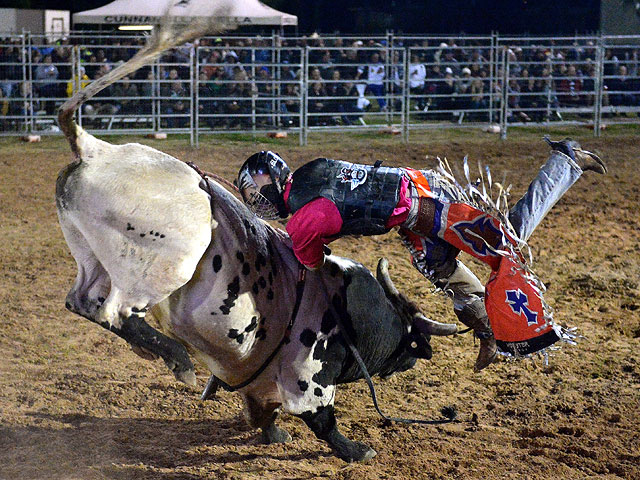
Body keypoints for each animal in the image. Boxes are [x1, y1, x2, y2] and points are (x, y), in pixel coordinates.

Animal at [53, 7, 460, 464]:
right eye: (409, 336)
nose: (414, 359)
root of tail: (95, 149)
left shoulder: (261, 379)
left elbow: (263, 410)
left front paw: (273, 433)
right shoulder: (309, 375)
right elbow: (322, 419)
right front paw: (356, 450)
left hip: (91, 253)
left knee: (82, 300)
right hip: (167, 258)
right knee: (116, 311)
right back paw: (179, 360)